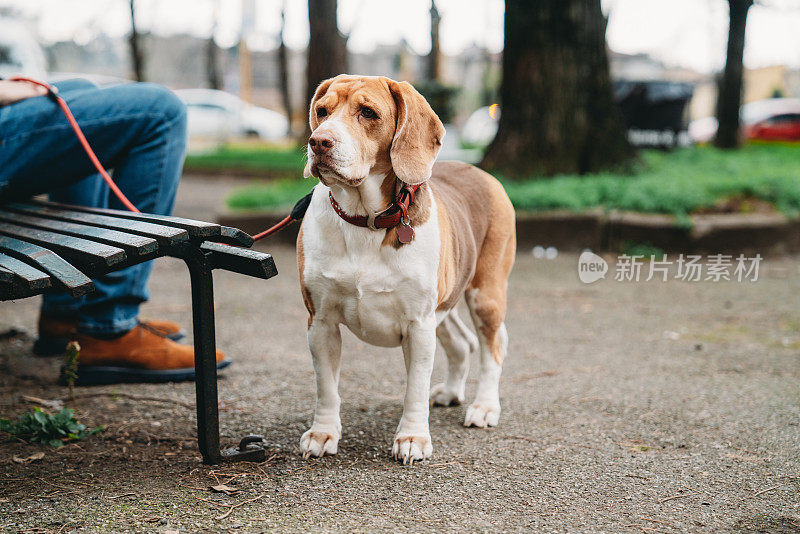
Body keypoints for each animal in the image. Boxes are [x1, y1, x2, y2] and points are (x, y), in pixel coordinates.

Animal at [296, 75, 516, 464]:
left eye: (368, 112)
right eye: (322, 111)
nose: (319, 141)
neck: (364, 220)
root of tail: (480, 171)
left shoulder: (418, 324)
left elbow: (414, 386)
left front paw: (412, 438)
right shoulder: (320, 321)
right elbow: (326, 386)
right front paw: (323, 433)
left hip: (484, 296)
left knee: (493, 346)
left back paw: (484, 406)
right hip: (445, 305)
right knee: (463, 343)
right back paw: (451, 392)